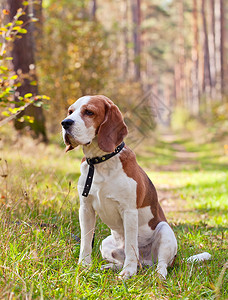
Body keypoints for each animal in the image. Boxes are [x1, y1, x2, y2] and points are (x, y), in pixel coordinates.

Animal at [61, 95, 177, 278]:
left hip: (165, 230)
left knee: (161, 264)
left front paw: (128, 272)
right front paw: (84, 266)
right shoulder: (85, 209)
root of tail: (145, 262)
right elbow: (86, 242)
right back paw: (110, 267)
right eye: (70, 111)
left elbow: (130, 245)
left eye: (89, 112)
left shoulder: (128, 212)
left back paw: (156, 274)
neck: (101, 162)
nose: (65, 123)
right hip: (105, 243)